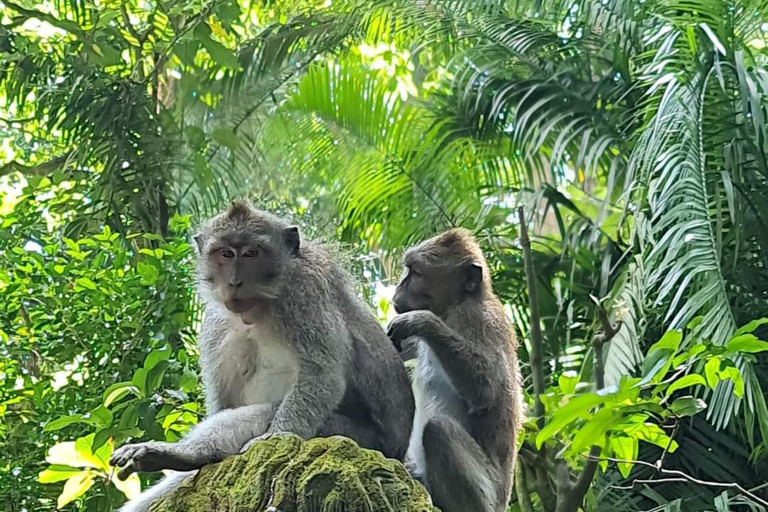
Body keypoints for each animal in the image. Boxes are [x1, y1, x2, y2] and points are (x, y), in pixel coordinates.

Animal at [109, 203, 414, 512]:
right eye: (225, 254)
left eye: (251, 253)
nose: (234, 282)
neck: (261, 307)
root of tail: (397, 456)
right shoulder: (216, 323)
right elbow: (224, 397)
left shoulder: (306, 295)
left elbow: (321, 374)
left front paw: (271, 436)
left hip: (354, 440)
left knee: (268, 412)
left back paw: (186, 456)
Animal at [388, 230, 524, 512]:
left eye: (415, 273)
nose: (398, 287)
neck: (454, 306)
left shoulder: (477, 321)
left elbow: (485, 390)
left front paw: (420, 320)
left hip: (488, 493)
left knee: (438, 429)